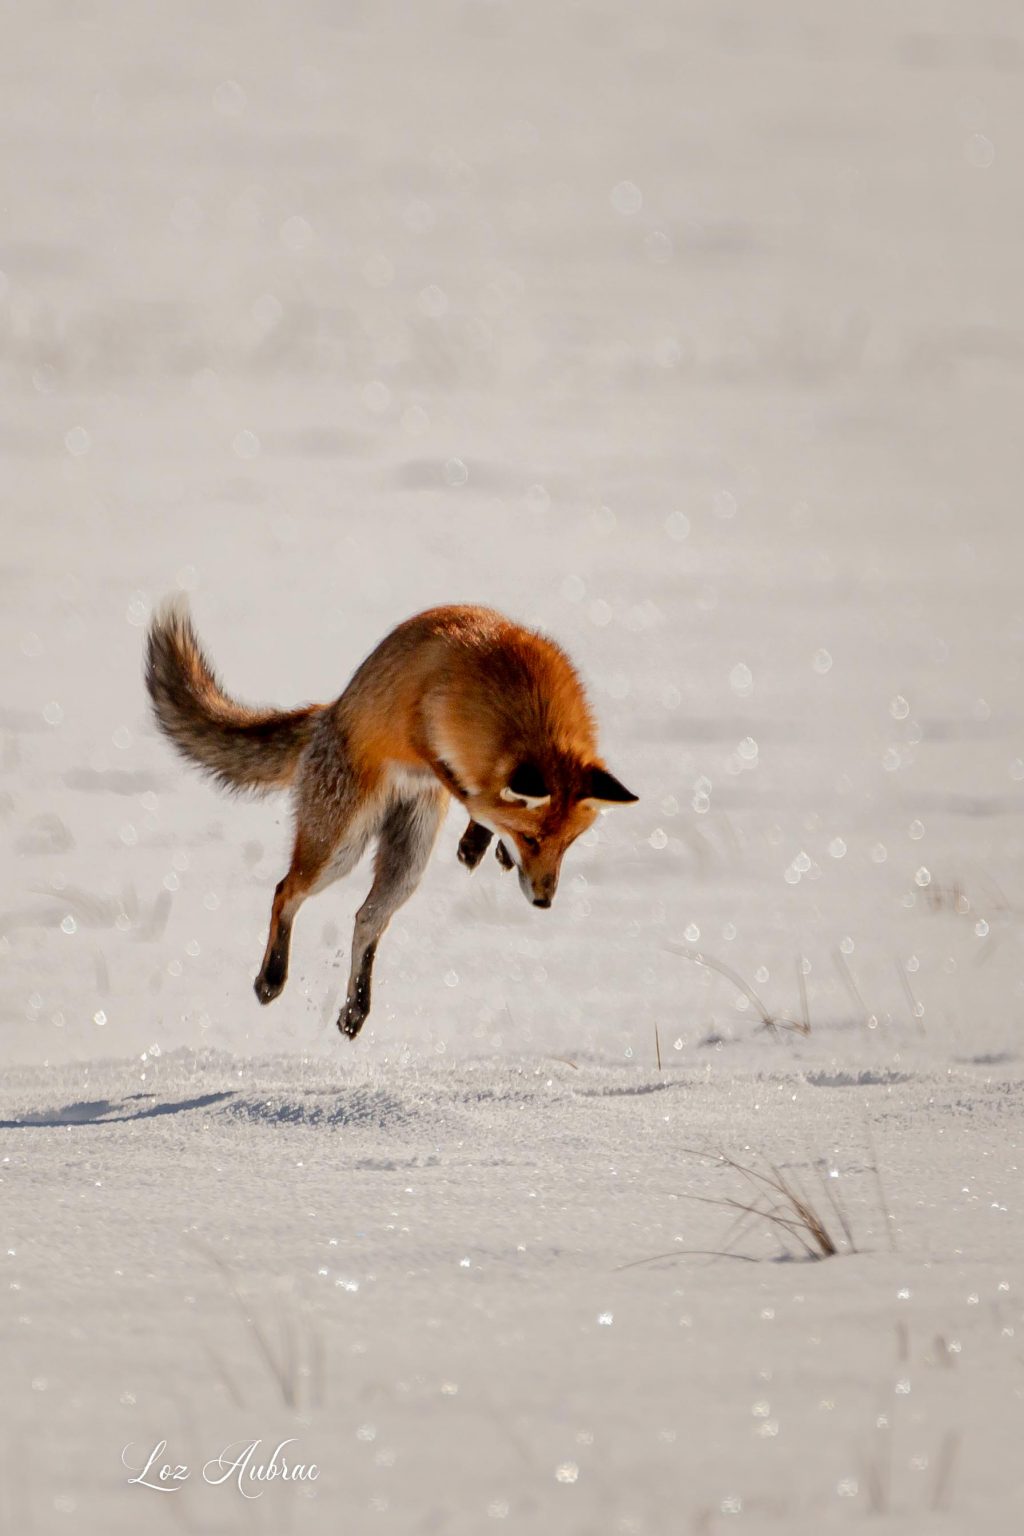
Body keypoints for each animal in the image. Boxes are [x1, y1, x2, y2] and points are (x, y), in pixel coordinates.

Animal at [145, 601, 637, 1039]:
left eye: (566, 845)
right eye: (531, 838)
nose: (543, 902)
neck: (517, 692)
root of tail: (330, 712)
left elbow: (481, 807)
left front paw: (487, 845)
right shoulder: (427, 735)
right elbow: (474, 798)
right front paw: (482, 841)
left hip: (407, 864)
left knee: (365, 919)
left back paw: (355, 1009)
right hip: (338, 850)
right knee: (285, 892)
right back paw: (272, 978)